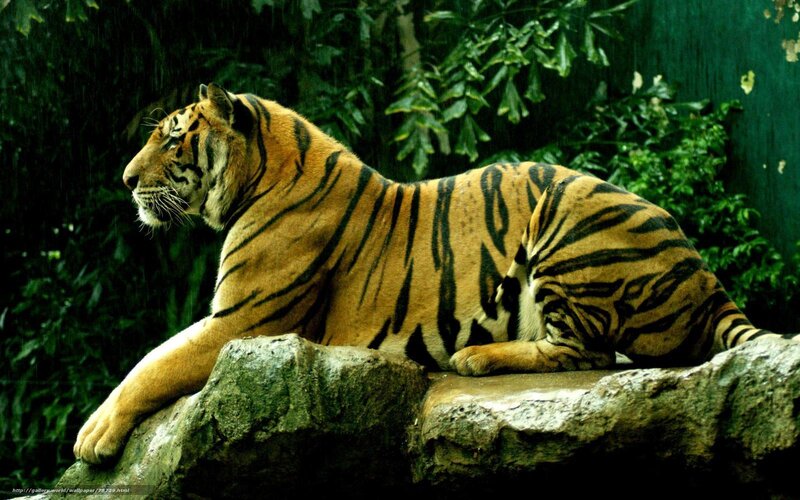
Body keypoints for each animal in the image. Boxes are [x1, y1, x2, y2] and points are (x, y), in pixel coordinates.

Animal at [74, 83, 797, 464]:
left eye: (173, 137)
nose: (125, 181)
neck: (260, 177)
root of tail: (705, 276)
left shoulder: (243, 321)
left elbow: (153, 363)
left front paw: (92, 436)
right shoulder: (236, 320)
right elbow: (154, 357)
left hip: (566, 213)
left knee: (588, 352)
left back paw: (475, 358)